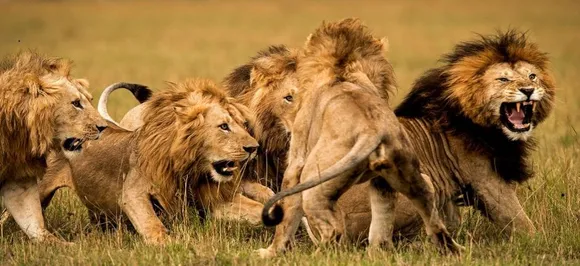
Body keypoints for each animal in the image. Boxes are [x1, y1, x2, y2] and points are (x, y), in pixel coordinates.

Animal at [28, 78, 260, 244]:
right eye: (223, 126)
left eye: (243, 125)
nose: (254, 148)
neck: (189, 170)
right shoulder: (133, 193)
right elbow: (153, 226)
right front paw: (173, 244)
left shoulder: (212, 200)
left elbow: (256, 208)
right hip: (40, 190)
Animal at [258, 18, 462, 258]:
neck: (342, 69)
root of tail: (371, 131)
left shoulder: (296, 162)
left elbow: (287, 215)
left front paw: (271, 252)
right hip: (408, 175)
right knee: (423, 216)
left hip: (314, 182)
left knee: (333, 230)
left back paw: (316, 256)